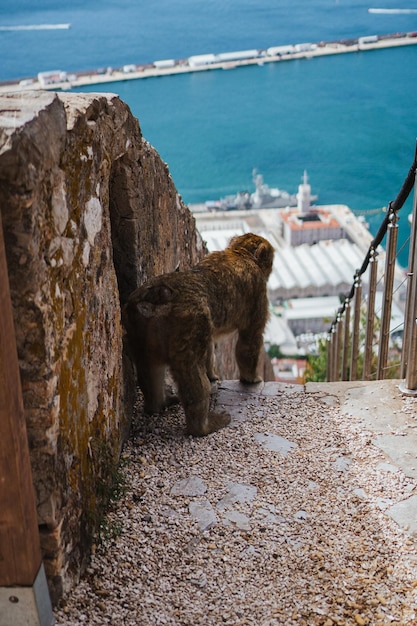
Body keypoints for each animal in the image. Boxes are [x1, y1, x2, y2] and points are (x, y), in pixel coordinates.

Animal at [122, 232, 272, 436]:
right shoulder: (258, 292)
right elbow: (249, 341)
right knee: (191, 372)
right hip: (188, 321)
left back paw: (157, 404)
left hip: (137, 326)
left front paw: (213, 374)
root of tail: (158, 296)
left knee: (148, 366)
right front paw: (252, 379)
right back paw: (202, 426)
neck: (239, 253)